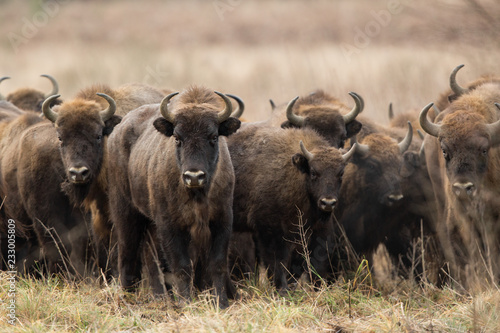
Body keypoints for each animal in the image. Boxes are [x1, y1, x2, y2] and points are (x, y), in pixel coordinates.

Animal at [106, 85, 241, 306]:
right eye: (177, 138)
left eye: (213, 137)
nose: (194, 176)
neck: (197, 195)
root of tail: (119, 130)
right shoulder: (170, 225)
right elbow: (182, 266)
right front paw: (186, 302)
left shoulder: (222, 221)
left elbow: (217, 264)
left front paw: (221, 302)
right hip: (126, 212)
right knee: (127, 253)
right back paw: (126, 297)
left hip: (149, 222)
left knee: (149, 256)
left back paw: (160, 296)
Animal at [229, 123, 358, 290]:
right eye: (314, 172)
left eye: (341, 173)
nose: (328, 203)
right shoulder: (270, 230)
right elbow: (277, 261)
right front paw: (282, 289)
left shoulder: (312, 231)